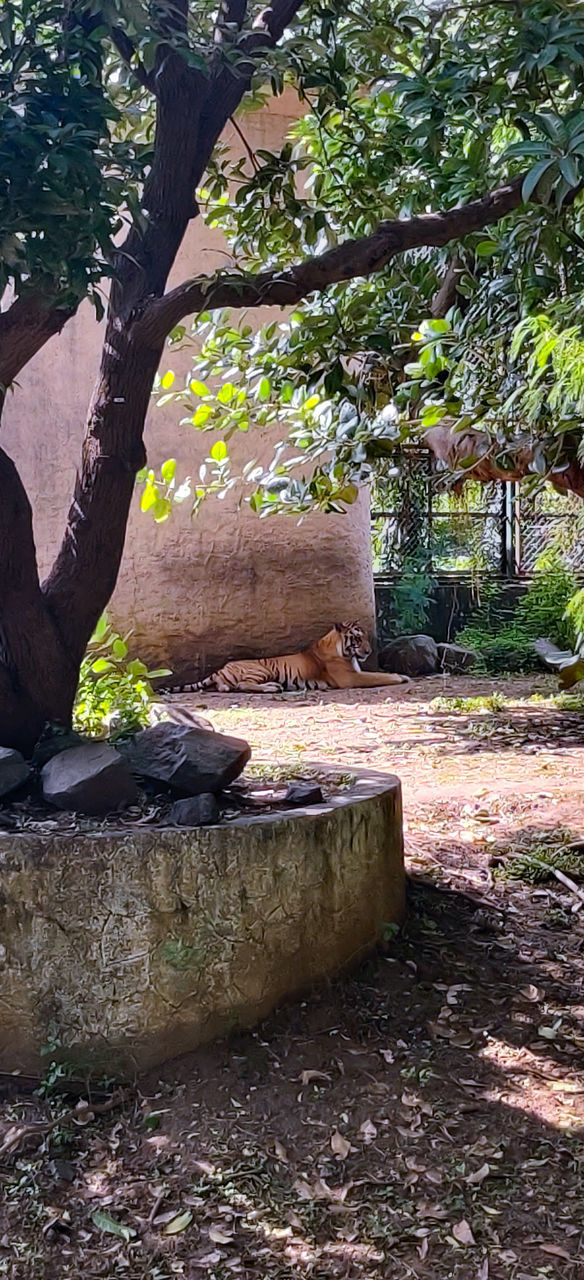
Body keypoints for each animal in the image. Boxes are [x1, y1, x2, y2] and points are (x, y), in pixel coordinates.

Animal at [160, 624, 409, 696]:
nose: (368, 650)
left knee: (227, 688)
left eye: (365, 636)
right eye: (357, 639)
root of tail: (221, 668)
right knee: (243, 684)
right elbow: (377, 676)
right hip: (262, 669)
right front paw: (400, 677)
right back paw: (273, 687)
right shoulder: (350, 678)